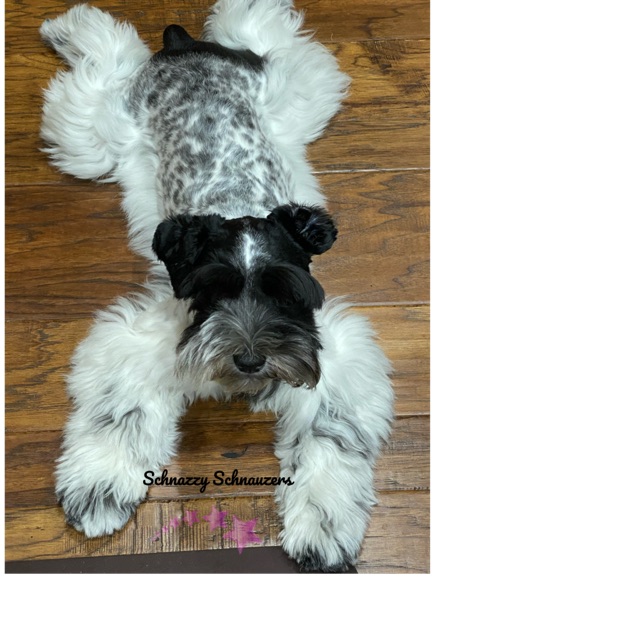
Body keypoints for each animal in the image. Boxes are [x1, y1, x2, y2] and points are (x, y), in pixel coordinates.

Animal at [40, 0, 394, 572]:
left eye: (286, 290)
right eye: (210, 290)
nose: (249, 359)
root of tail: (183, 51)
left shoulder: (335, 358)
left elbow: (330, 436)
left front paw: (323, 524)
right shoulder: (142, 338)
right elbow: (120, 414)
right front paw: (100, 485)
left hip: (293, 96)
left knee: (262, 32)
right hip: (95, 138)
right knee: (104, 63)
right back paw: (70, 27)